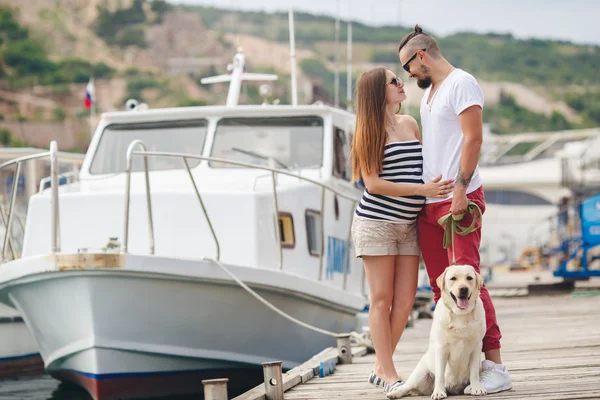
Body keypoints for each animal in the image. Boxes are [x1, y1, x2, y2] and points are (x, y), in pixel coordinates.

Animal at [390, 264, 488, 398]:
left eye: (469, 278)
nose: (463, 289)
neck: (460, 314)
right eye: (453, 278)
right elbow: (440, 374)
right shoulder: (442, 348)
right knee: (407, 386)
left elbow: (474, 373)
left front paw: (476, 388)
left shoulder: (476, 347)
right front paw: (438, 392)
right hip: (420, 375)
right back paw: (395, 392)